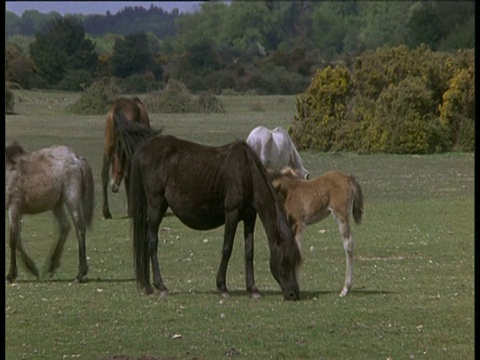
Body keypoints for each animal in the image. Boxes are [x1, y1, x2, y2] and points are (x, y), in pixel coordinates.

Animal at [4, 142, 94, 282]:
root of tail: (76, 158)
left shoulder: (13, 208)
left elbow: (13, 240)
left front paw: (11, 275)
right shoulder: (18, 212)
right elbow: (17, 240)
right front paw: (32, 269)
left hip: (71, 199)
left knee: (79, 228)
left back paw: (80, 273)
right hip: (57, 204)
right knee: (65, 227)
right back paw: (51, 266)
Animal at [113, 116, 302, 300]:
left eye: (296, 260)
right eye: (285, 259)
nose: (293, 294)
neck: (246, 172)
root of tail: (145, 146)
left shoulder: (250, 217)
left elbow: (249, 251)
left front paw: (253, 289)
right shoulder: (232, 213)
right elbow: (227, 248)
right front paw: (222, 287)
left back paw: (147, 285)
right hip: (156, 204)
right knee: (151, 239)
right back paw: (160, 286)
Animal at [270, 167, 364, 296]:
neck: (288, 193)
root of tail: (348, 177)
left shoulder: (299, 224)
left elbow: (297, 252)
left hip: (341, 215)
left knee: (348, 243)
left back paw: (345, 289)